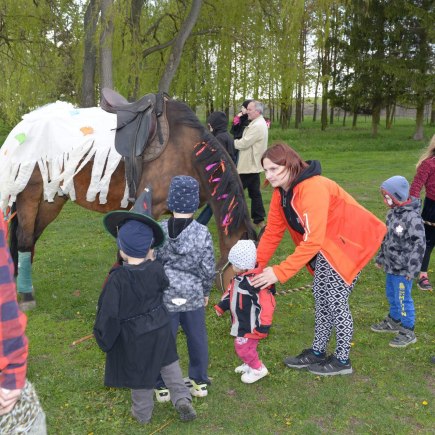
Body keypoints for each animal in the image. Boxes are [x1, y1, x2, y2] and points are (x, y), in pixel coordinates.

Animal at [0, 95, 255, 306]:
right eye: (244, 276)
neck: (187, 151)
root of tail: (21, 128)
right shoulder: (150, 207)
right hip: (30, 194)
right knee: (24, 239)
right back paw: (26, 294)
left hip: (51, 199)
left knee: (30, 238)